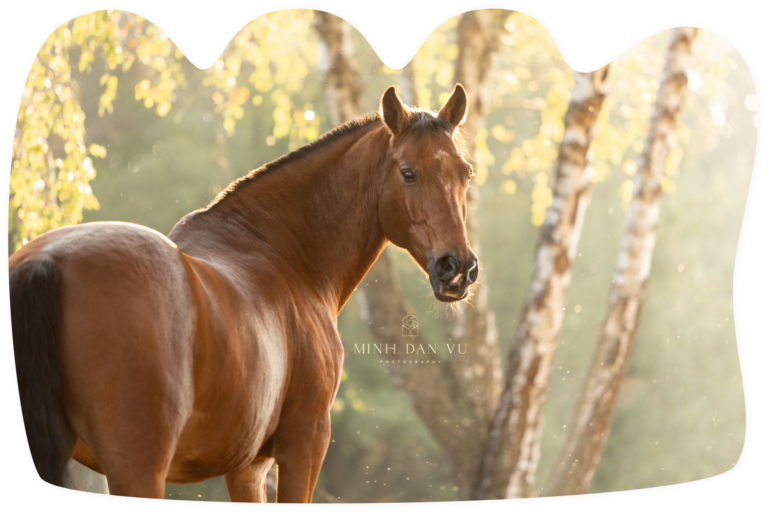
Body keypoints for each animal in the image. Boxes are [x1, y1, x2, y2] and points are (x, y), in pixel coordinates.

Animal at [8, 84, 479, 503]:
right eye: (408, 173)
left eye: (466, 173)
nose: (457, 268)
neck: (282, 254)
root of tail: (47, 263)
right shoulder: (304, 444)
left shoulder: (247, 468)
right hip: (137, 467)